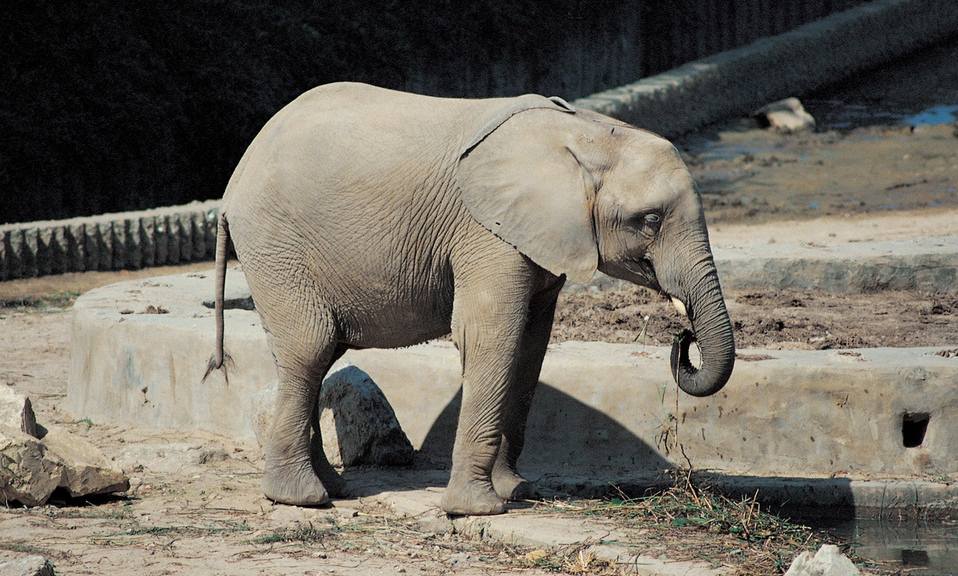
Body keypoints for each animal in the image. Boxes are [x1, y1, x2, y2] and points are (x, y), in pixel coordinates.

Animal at [206, 82, 740, 516]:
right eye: (650, 220)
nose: (683, 337)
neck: (585, 134)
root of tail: (233, 184)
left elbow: (530, 345)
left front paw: (517, 491)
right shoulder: (486, 233)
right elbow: (490, 336)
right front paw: (479, 509)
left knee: (318, 354)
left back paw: (331, 489)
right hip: (277, 246)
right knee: (311, 348)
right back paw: (303, 499)